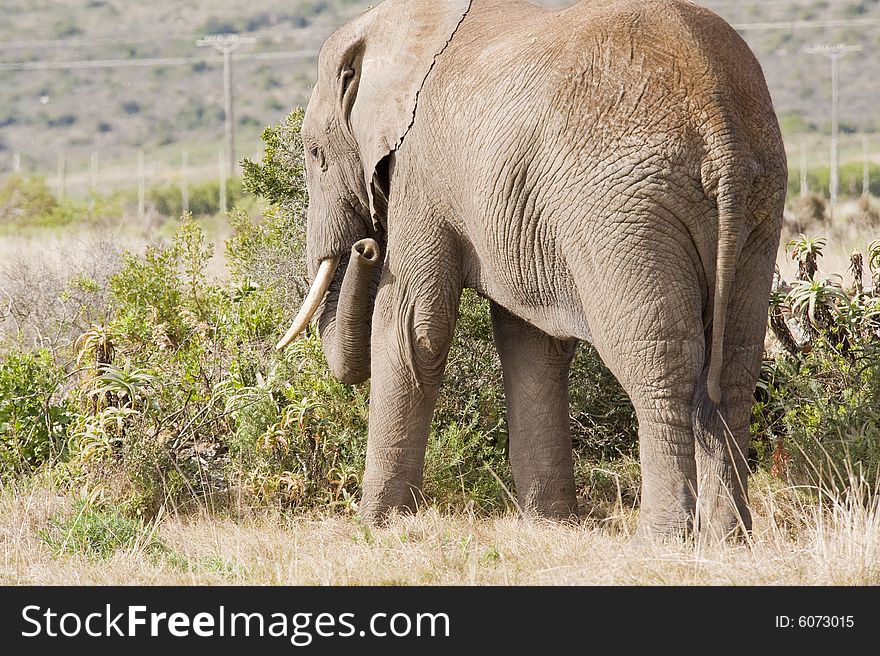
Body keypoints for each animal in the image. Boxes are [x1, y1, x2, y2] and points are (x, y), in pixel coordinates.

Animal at [276, 0, 784, 540]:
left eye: (314, 154)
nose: (367, 246)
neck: (390, 27)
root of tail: (720, 129)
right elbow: (531, 342)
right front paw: (551, 524)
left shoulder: (422, 172)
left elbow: (413, 326)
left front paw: (377, 526)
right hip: (759, 202)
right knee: (735, 368)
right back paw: (731, 539)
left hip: (626, 212)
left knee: (659, 366)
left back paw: (661, 539)